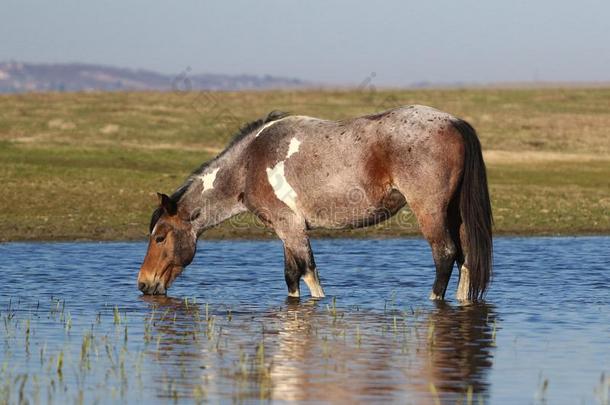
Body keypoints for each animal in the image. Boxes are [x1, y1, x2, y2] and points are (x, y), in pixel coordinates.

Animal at [135, 104, 492, 300]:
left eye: (160, 237)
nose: (143, 284)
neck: (249, 163)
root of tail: (453, 122)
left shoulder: (291, 228)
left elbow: (309, 275)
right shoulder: (286, 229)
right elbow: (291, 275)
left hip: (430, 213)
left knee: (445, 256)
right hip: (455, 214)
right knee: (466, 260)